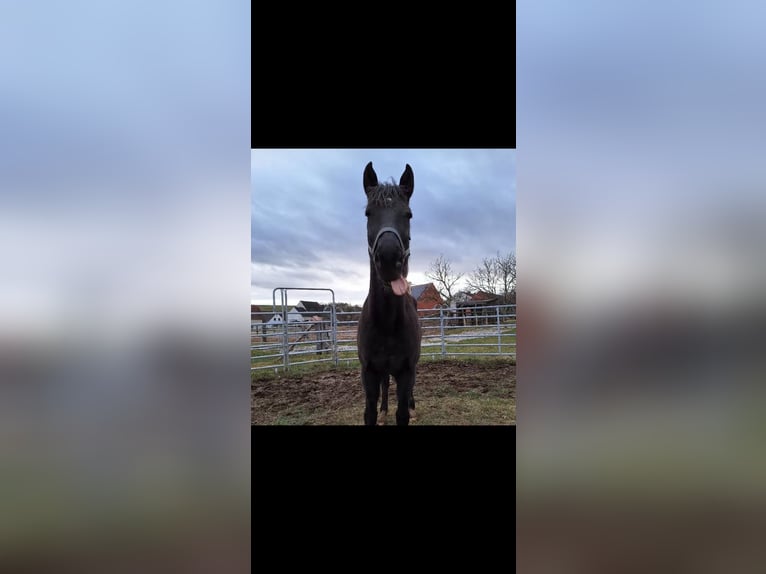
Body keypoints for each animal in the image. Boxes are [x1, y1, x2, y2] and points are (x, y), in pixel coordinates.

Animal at [356, 162, 424, 428]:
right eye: (368, 213)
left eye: (409, 214)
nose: (387, 259)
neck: (385, 323)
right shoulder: (369, 373)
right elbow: (370, 413)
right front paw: (381, 412)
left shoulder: (406, 370)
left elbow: (402, 412)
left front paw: (409, 410)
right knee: (386, 385)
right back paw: (385, 409)